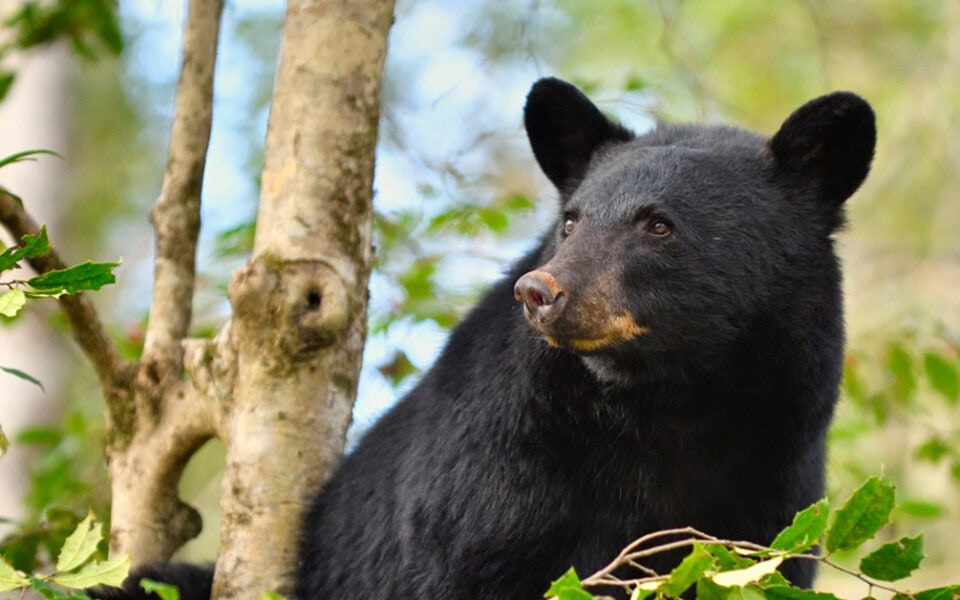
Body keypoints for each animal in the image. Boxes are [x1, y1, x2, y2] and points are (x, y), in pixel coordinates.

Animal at [101, 79, 872, 600]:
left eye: (659, 225)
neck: (668, 407)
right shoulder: (493, 465)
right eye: (571, 220)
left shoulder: (773, 483)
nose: (541, 292)